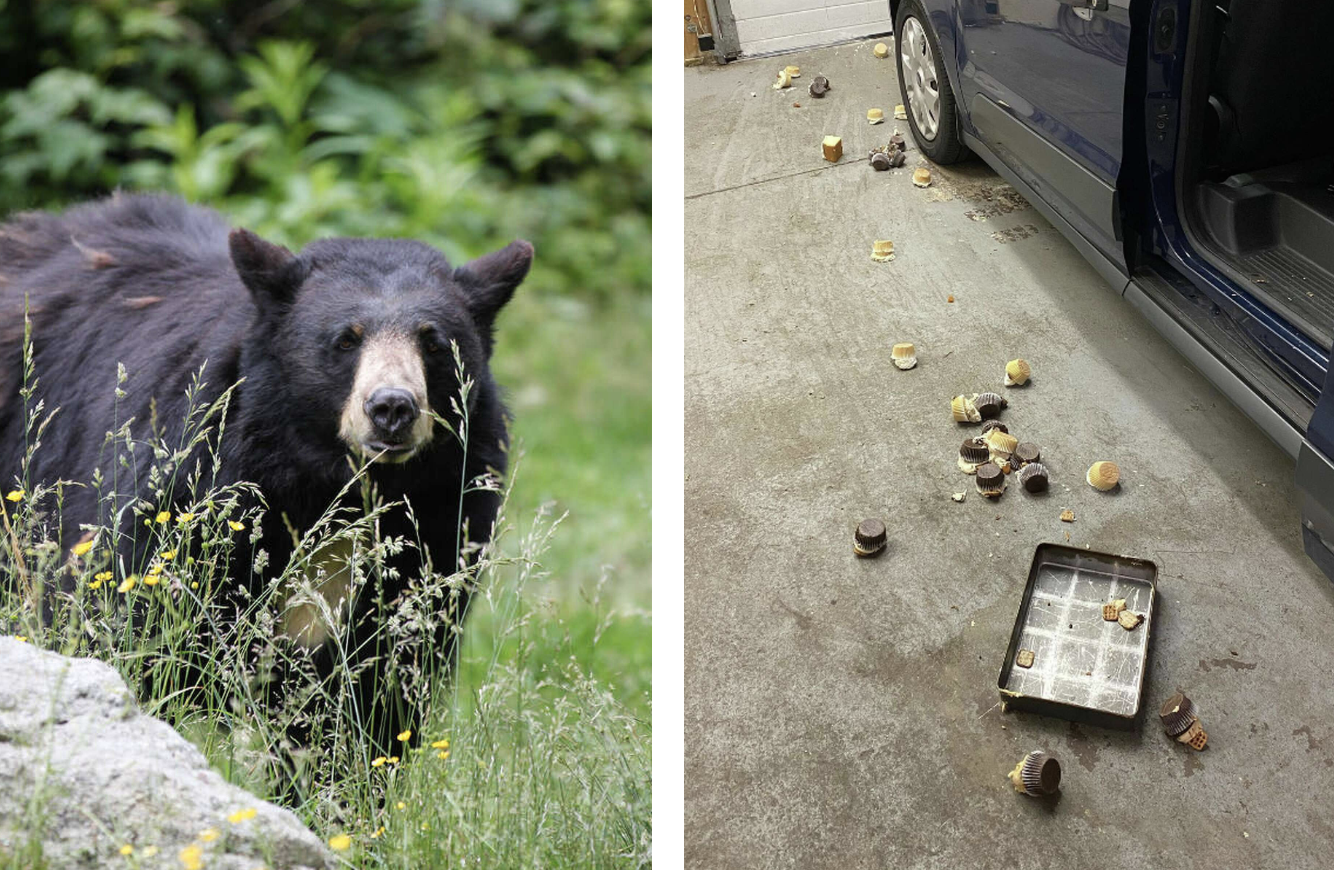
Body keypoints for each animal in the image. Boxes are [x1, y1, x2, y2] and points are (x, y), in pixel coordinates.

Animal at [0, 192, 532, 759]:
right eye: (345, 340)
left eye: (433, 344)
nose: (392, 408)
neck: (327, 486)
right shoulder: (182, 499)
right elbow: (131, 630)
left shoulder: (438, 527)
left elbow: (379, 697)